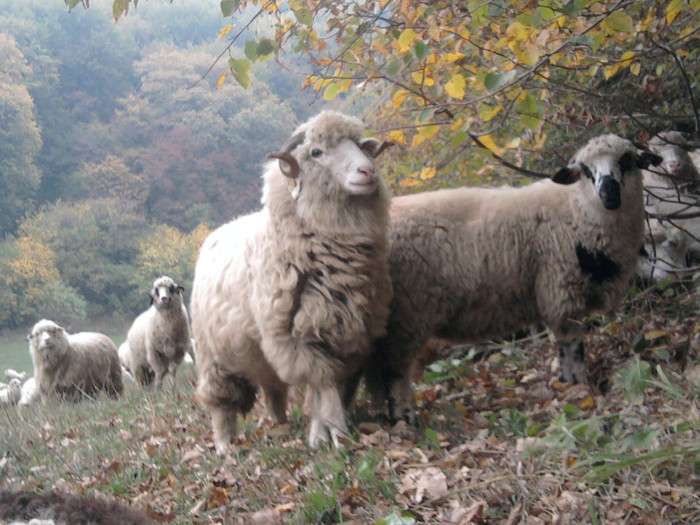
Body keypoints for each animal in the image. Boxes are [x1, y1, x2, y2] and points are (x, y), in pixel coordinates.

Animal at [191, 109, 394, 450]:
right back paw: (224, 445)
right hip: (213, 355)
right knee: (220, 403)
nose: (367, 171)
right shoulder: (296, 336)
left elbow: (324, 390)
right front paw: (338, 435)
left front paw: (318, 433)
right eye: (316, 152)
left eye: (359, 145)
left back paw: (279, 425)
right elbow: (325, 384)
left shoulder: (348, 333)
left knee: (273, 390)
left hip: (259, 355)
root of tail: (218, 231)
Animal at [364, 134, 664, 422]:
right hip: (408, 314)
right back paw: (403, 417)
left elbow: (564, 350)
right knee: (395, 371)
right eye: (585, 170)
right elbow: (573, 347)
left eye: (627, 160)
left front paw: (567, 383)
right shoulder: (562, 292)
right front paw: (580, 386)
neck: (577, 213)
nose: (608, 191)